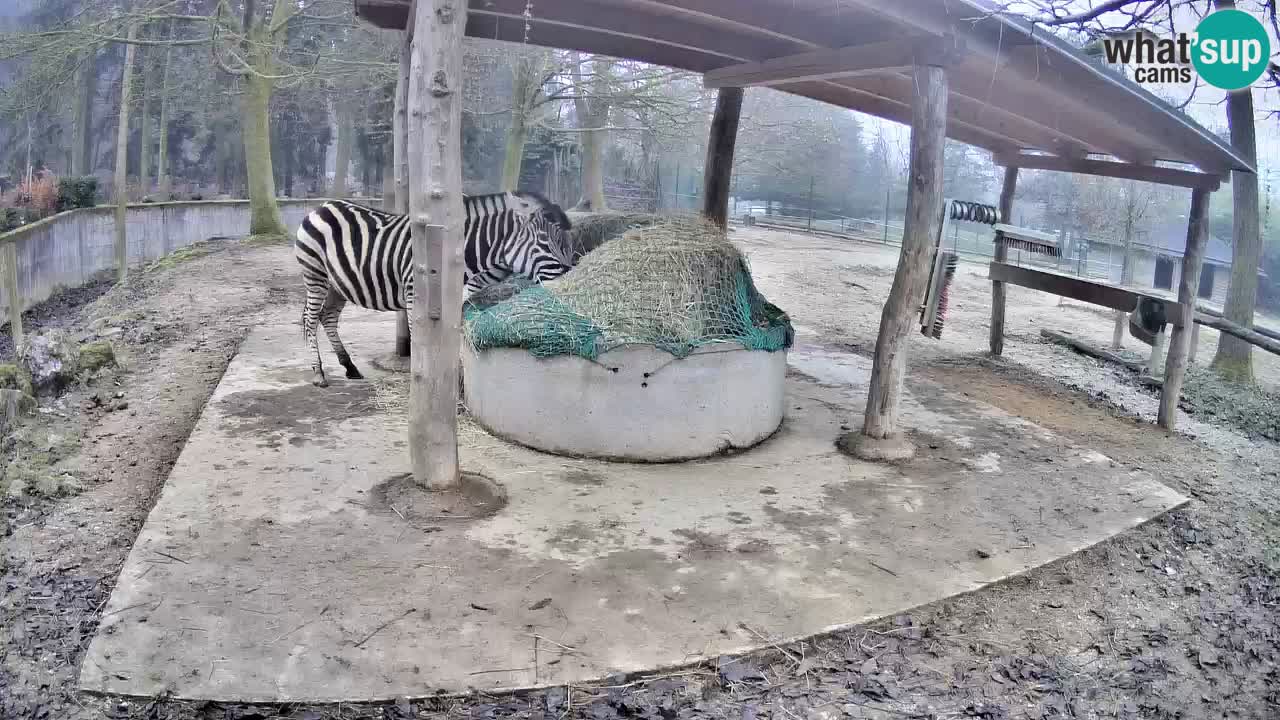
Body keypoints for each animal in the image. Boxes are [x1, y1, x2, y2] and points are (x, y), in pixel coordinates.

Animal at [294, 191, 574, 387]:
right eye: (544, 241)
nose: (566, 278)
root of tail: (322, 206)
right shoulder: (413, 296)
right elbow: (419, 339)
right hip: (315, 274)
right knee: (310, 319)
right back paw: (319, 373)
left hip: (337, 284)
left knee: (327, 317)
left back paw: (349, 367)